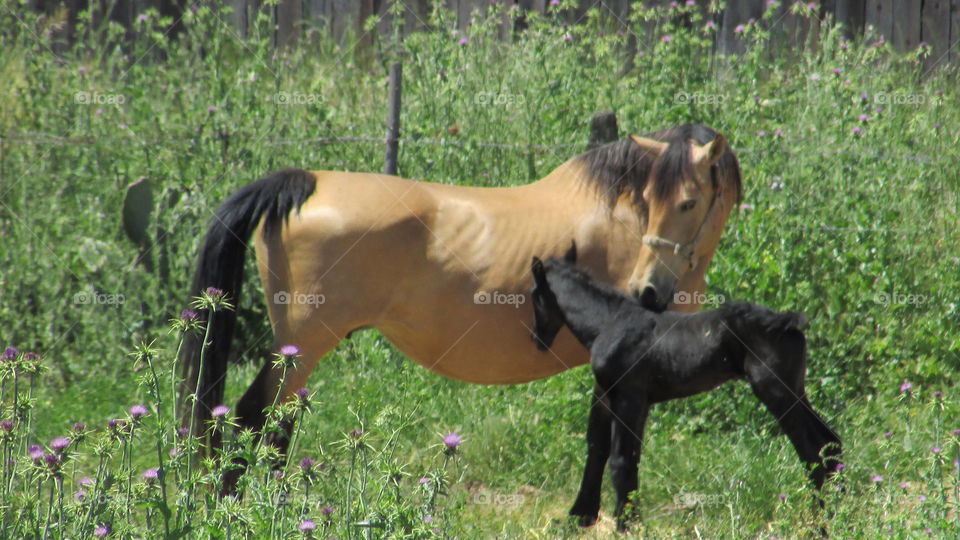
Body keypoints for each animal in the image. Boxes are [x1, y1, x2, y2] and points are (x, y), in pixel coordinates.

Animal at [178, 124, 743, 481]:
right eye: (650, 199)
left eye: (688, 202)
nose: (647, 291)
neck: (616, 221)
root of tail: (307, 182)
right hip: (302, 348)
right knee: (255, 418)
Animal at [529, 245, 842, 531]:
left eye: (534, 295)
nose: (536, 339)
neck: (609, 323)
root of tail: (788, 322)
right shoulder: (622, 399)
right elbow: (609, 451)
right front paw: (601, 517)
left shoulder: (628, 397)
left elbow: (620, 459)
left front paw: (624, 524)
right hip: (796, 389)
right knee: (830, 443)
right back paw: (840, 511)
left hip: (775, 391)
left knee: (812, 451)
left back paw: (819, 524)